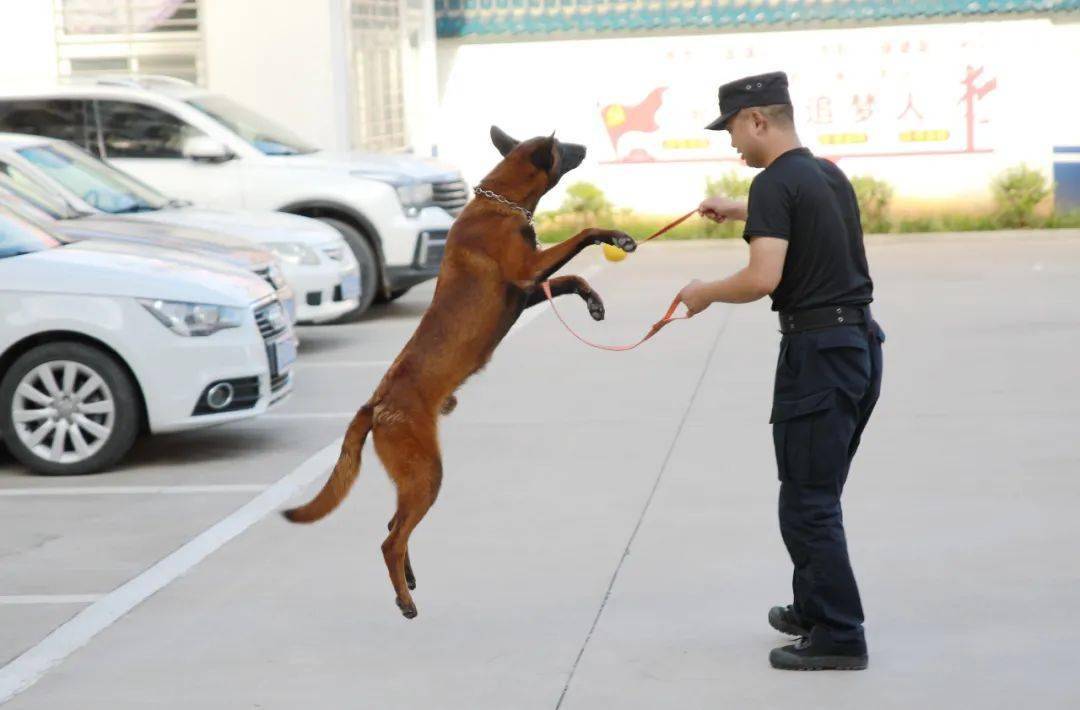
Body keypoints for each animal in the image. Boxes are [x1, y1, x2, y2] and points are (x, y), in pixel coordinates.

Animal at [282, 125, 635, 613]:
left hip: (413, 478)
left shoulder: (526, 288)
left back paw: (408, 580)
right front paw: (614, 236)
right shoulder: (527, 269)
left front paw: (592, 299)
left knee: (394, 527)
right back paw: (404, 600)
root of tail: (375, 404)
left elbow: (567, 280)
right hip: (427, 474)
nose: (584, 145)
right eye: (562, 147)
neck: (500, 203)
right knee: (391, 539)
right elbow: (580, 234)